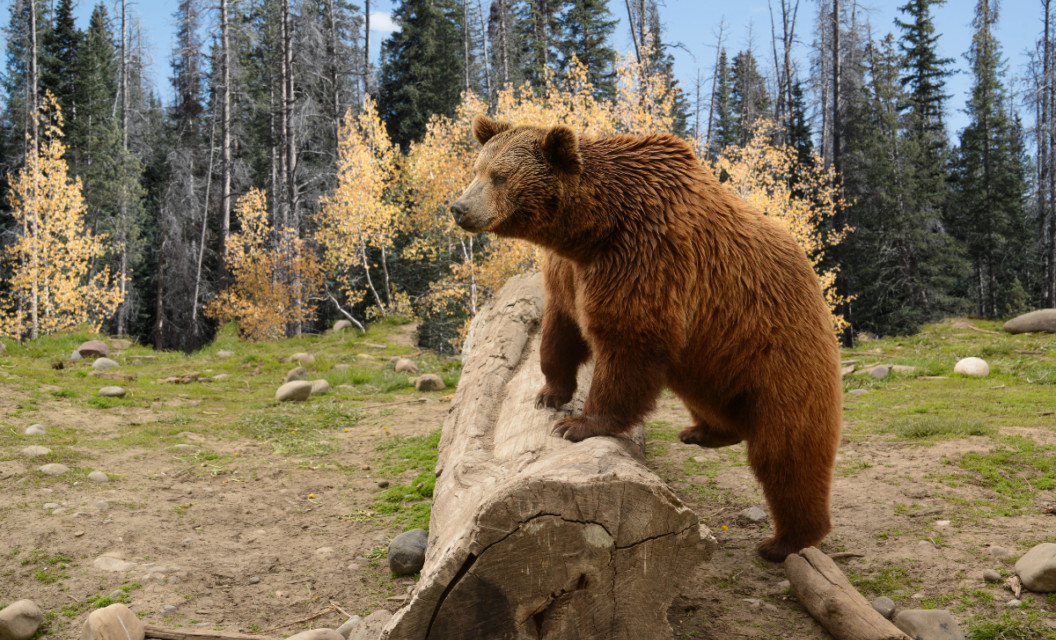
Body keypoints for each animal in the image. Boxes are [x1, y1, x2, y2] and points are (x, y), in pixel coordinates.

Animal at [449, 115, 844, 561]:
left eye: (499, 176)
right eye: (477, 169)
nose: (460, 208)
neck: (592, 231)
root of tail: (814, 283)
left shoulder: (645, 259)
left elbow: (628, 345)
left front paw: (578, 424)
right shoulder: (569, 273)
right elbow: (560, 331)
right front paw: (549, 393)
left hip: (779, 351)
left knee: (787, 452)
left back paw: (784, 541)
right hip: (713, 357)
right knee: (712, 399)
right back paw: (703, 432)